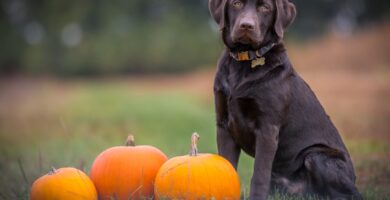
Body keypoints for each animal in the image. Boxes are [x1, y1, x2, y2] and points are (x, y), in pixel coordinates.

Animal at [209, 0, 362, 200]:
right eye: (236, 4)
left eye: (265, 7)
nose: (246, 26)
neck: (243, 61)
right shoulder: (224, 125)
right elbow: (227, 165)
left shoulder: (267, 128)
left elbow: (259, 174)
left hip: (316, 156)